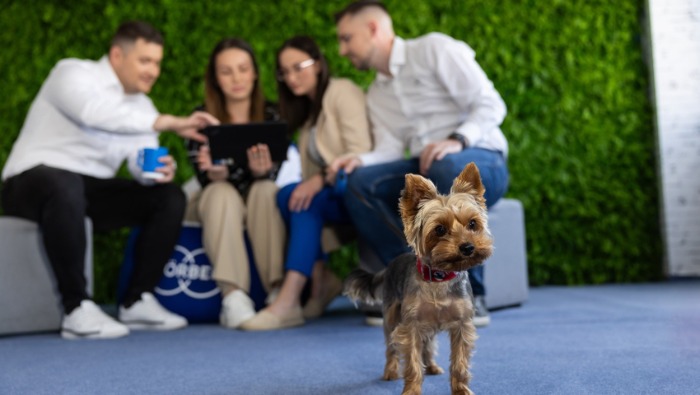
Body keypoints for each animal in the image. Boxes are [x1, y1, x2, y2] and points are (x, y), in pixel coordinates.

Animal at [344, 163, 492, 395]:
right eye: (439, 229)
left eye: (472, 224)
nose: (468, 247)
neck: (440, 277)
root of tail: (390, 265)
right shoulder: (411, 325)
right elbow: (412, 362)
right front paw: (412, 390)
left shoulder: (461, 325)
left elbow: (459, 362)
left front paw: (461, 389)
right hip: (391, 318)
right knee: (391, 347)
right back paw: (390, 371)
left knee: (428, 347)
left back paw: (431, 366)